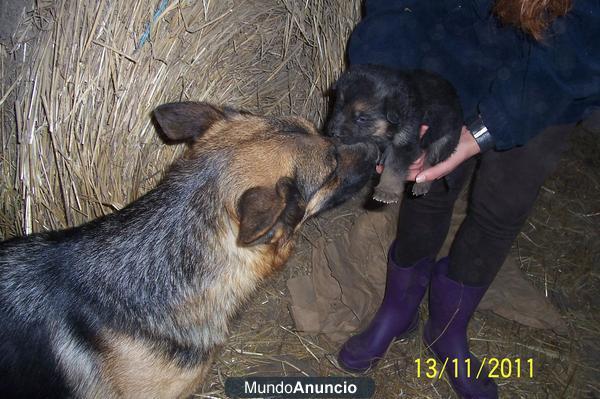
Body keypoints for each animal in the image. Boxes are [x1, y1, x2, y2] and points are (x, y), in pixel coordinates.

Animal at [326, 64, 462, 205]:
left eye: (362, 118)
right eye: (338, 108)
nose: (333, 132)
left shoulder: (405, 142)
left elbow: (393, 168)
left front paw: (387, 191)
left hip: (446, 137)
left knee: (431, 160)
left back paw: (422, 183)